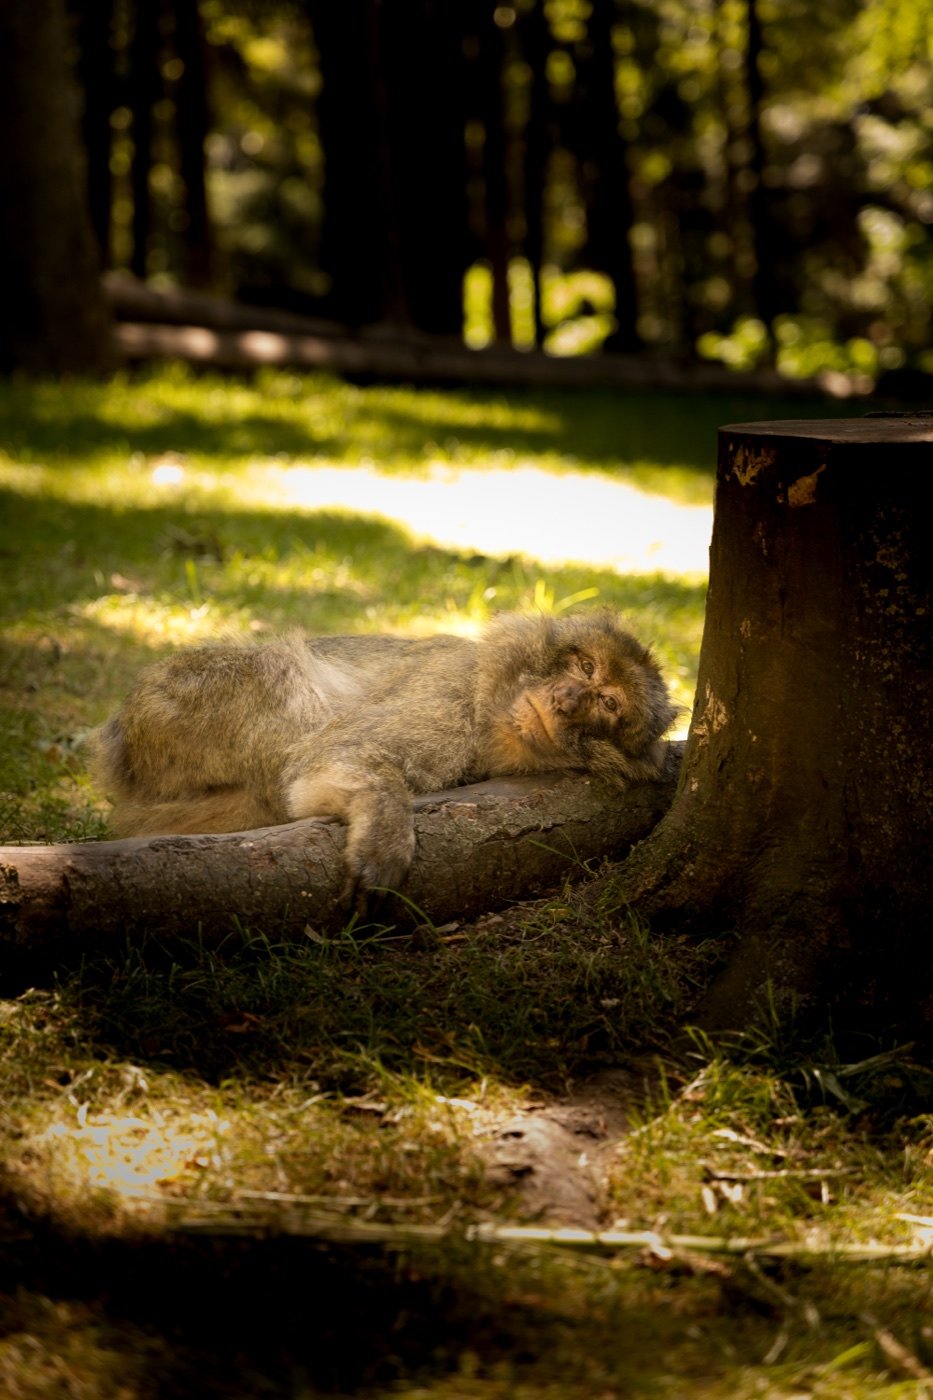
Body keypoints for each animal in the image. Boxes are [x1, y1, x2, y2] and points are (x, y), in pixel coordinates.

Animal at [87, 610, 677, 907]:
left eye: (608, 703)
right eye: (584, 667)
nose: (568, 699)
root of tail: (118, 739)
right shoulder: (450, 694)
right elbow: (329, 753)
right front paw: (384, 828)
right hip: (182, 697)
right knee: (287, 675)